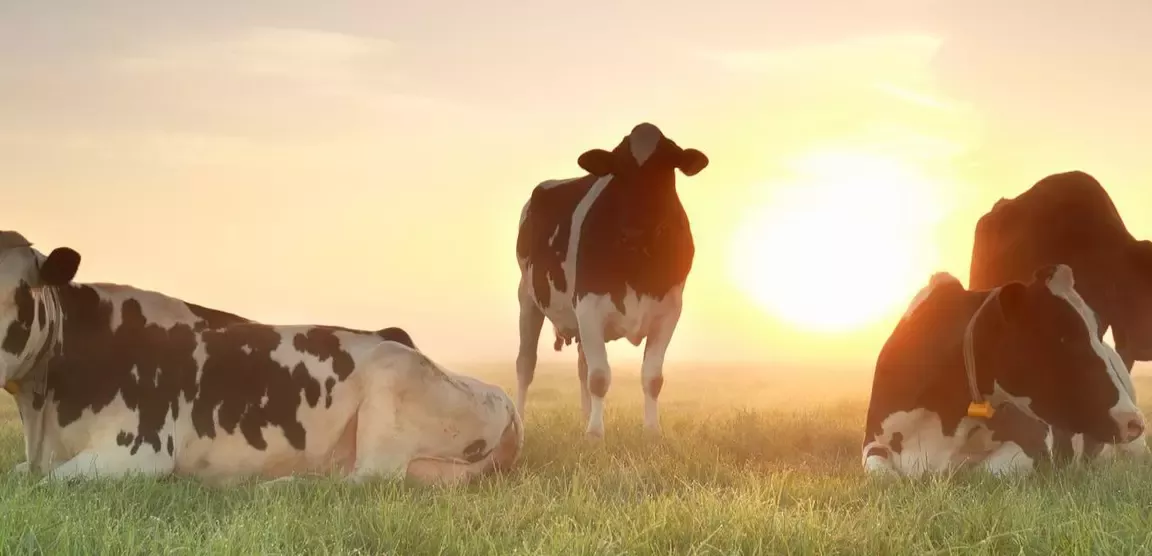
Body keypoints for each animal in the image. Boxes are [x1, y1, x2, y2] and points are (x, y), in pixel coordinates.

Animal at [0, 231, 522, 485]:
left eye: (20, 293)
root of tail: (503, 398)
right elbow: (19, 477)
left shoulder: (138, 451)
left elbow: (41, 486)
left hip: (392, 383)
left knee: (367, 481)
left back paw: (278, 485)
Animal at [514, 122, 709, 438]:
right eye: (618, 169)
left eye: (666, 166)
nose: (634, 231)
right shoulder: (588, 306)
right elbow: (599, 377)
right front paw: (595, 434)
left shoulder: (669, 310)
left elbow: (652, 377)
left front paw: (652, 432)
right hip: (527, 297)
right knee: (525, 365)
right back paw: (519, 421)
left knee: (581, 363)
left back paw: (584, 417)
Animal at [862, 266, 1145, 477]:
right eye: (1064, 337)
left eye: (1096, 331)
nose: (1134, 422)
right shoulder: (872, 442)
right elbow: (881, 473)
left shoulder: (1032, 443)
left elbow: (980, 471)